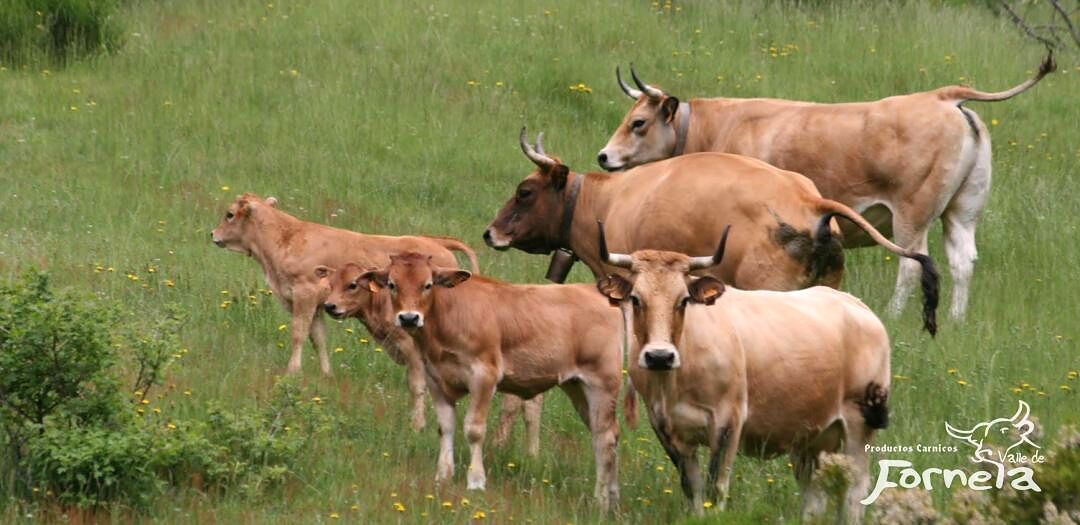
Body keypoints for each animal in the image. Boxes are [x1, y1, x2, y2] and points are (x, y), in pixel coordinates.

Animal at [210, 193, 478, 431]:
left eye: (229, 214)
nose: (213, 234)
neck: (286, 238)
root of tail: (437, 241)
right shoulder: (319, 306)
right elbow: (318, 338)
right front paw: (326, 375)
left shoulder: (304, 296)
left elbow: (298, 334)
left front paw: (292, 371)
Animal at [317, 262, 543, 454]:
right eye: (330, 284)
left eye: (352, 284)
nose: (329, 306)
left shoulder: (413, 353)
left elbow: (416, 387)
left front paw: (417, 426)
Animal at [359, 252, 623, 511]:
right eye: (392, 284)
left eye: (428, 285)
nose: (409, 318)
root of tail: (597, 292)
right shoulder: (435, 379)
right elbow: (446, 427)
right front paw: (442, 476)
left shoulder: (484, 375)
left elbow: (474, 430)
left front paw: (476, 481)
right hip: (576, 386)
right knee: (606, 436)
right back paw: (612, 495)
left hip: (601, 383)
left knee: (604, 439)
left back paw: (601, 500)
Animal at [594, 224, 891, 523]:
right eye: (636, 299)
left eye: (684, 300)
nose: (659, 356)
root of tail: (855, 305)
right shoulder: (665, 425)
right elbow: (693, 488)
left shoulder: (728, 420)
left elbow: (715, 488)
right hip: (814, 435)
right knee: (814, 492)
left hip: (860, 422)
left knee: (855, 489)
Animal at [596, 53, 1055, 321]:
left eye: (638, 123)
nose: (603, 156)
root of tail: (942, 97)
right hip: (962, 212)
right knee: (963, 262)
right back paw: (957, 320)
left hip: (912, 216)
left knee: (912, 264)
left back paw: (892, 314)